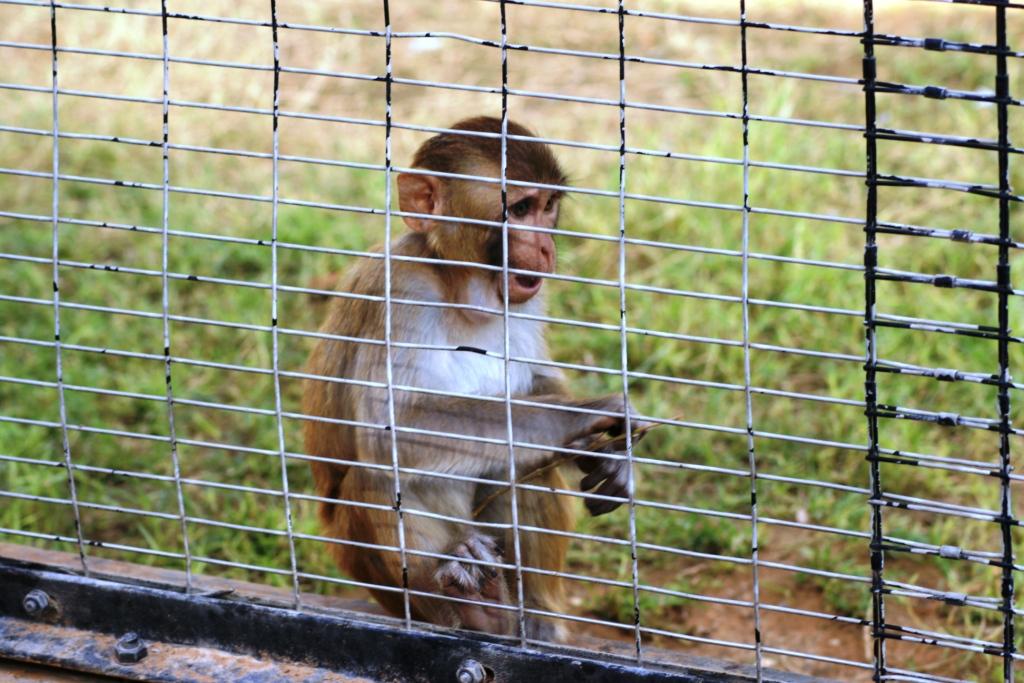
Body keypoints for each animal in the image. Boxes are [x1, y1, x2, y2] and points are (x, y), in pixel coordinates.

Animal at [303, 116, 636, 642]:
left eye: (547, 206)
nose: (545, 246)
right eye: (518, 209)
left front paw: (604, 454)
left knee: (516, 466)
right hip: (363, 563)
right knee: (374, 473)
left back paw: (525, 618)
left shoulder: (527, 302)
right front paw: (581, 417)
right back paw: (469, 612)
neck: (462, 291)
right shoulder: (403, 290)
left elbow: (535, 384)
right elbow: (390, 427)